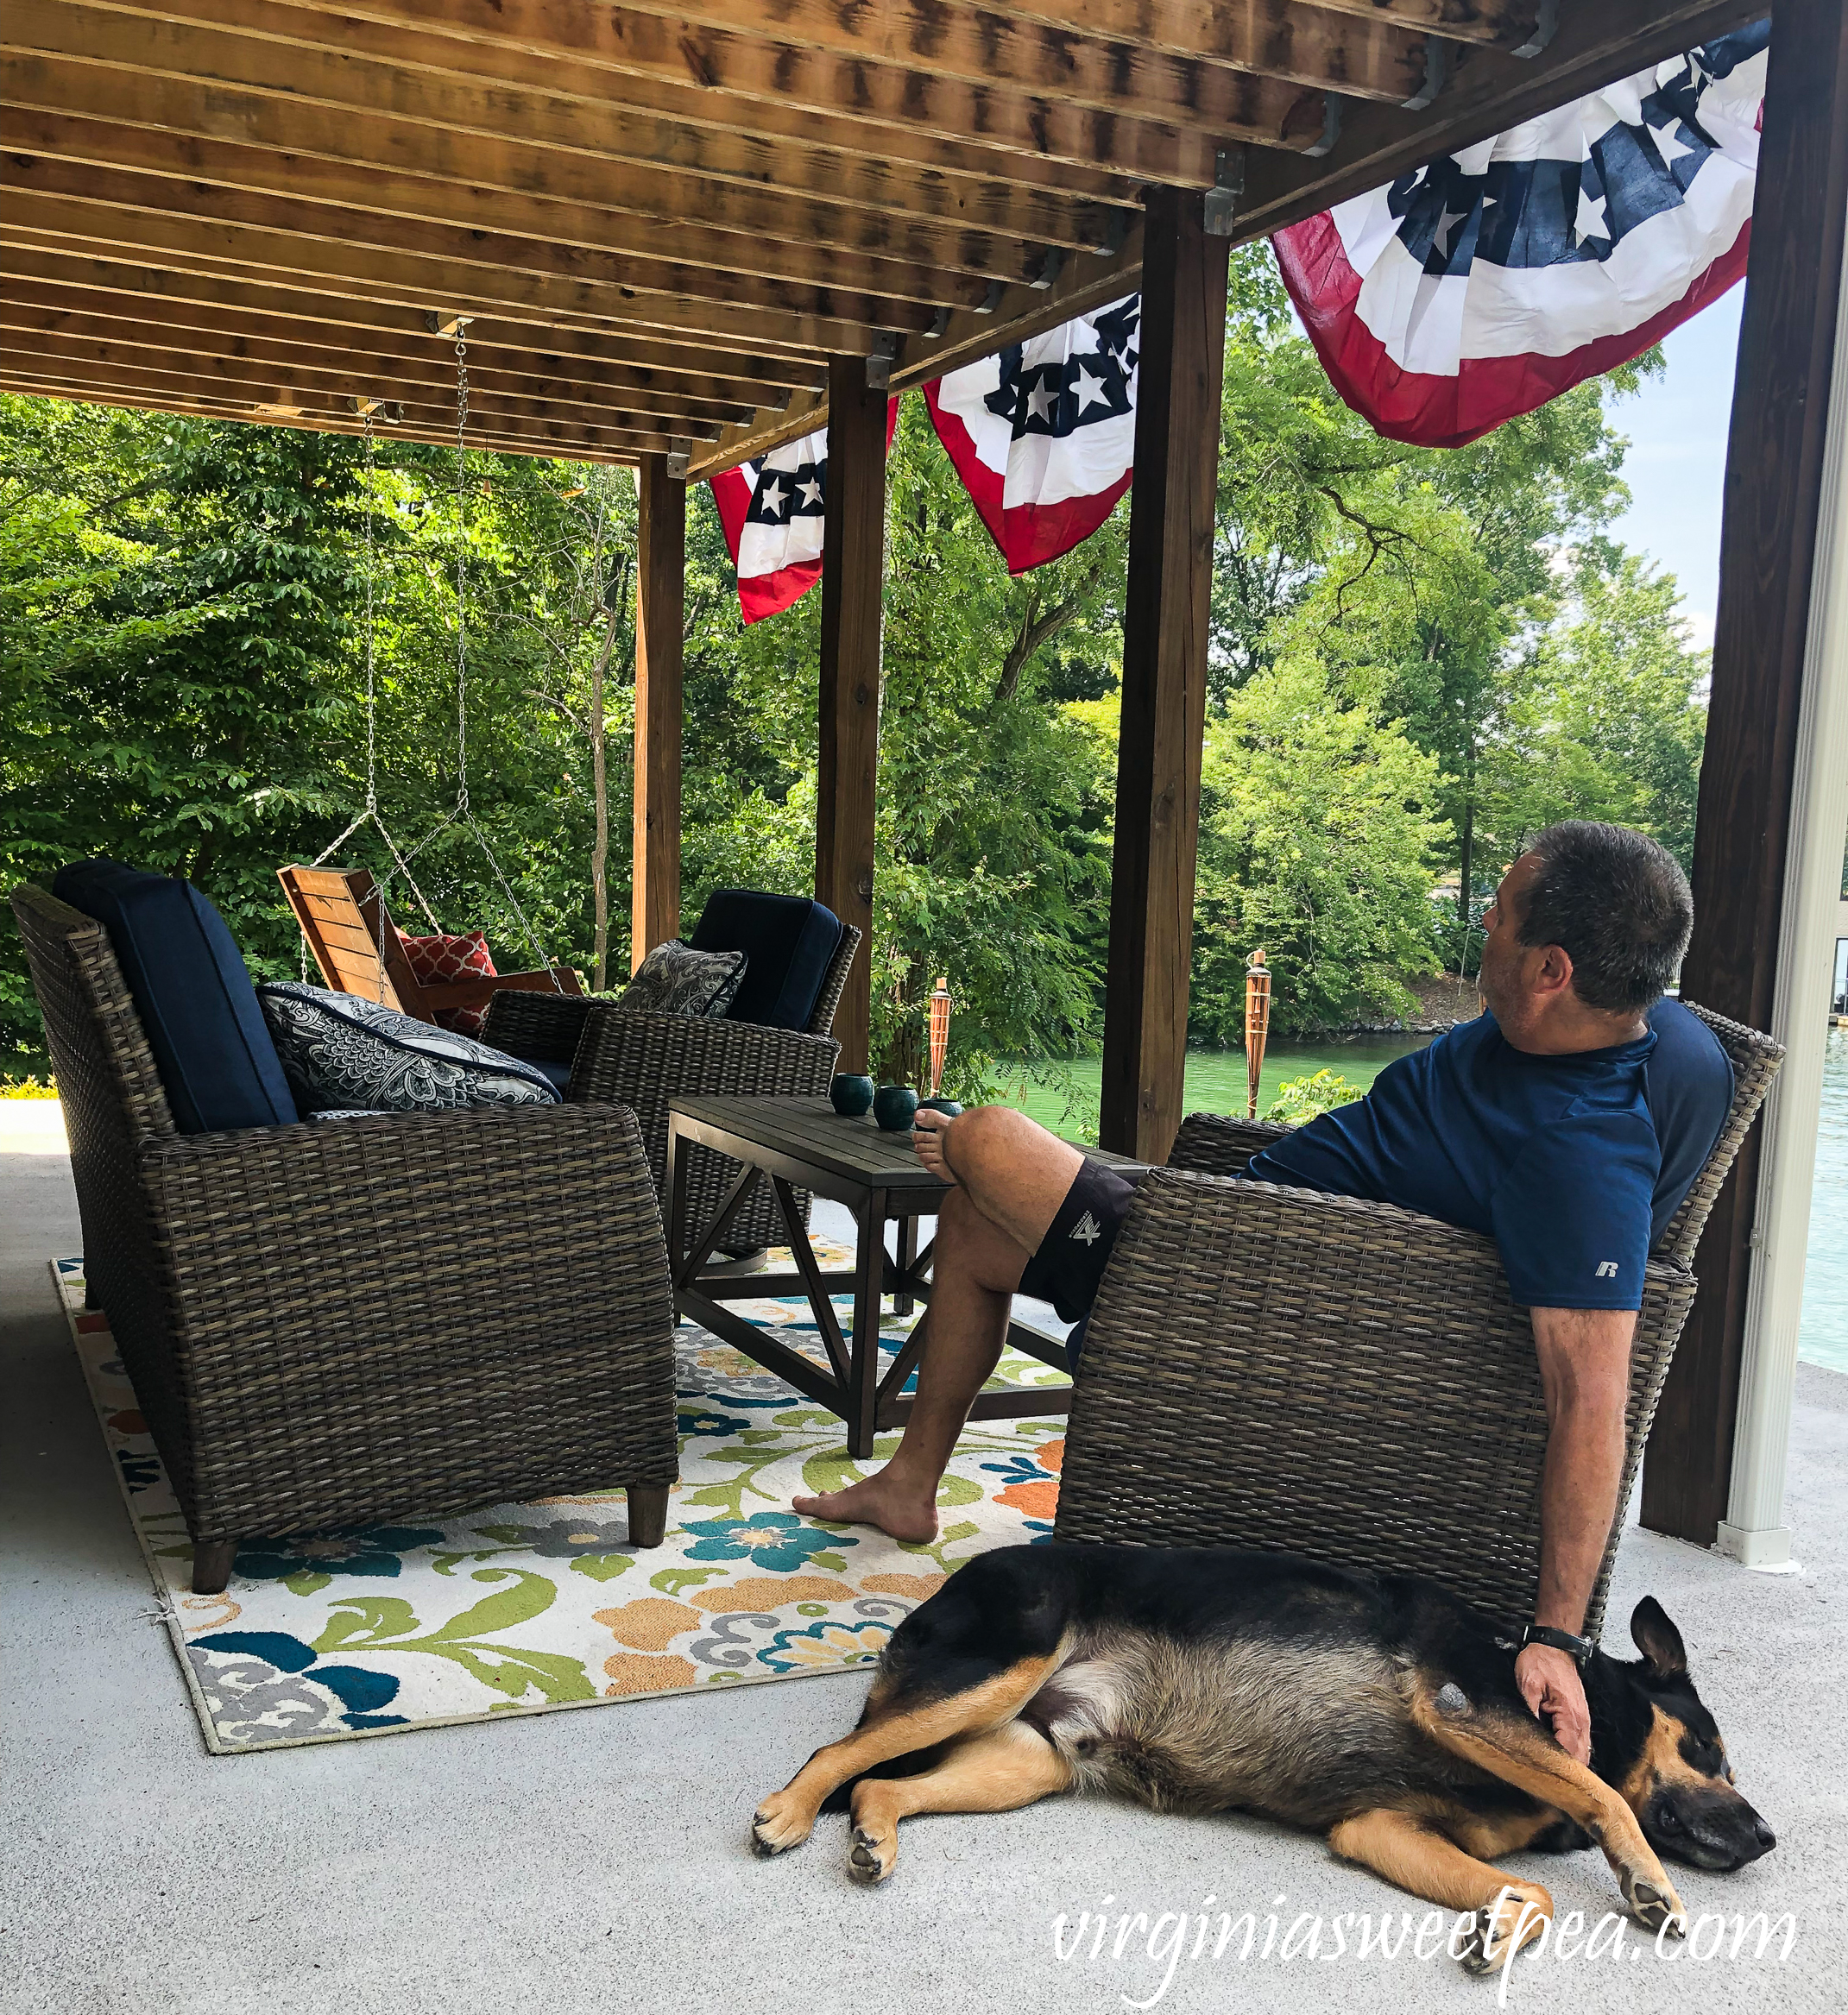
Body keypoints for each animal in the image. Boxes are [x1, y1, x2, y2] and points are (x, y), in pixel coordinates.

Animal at [754, 1547, 1773, 1974]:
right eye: (1709, 1750)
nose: (1766, 1837)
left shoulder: (1376, 1826)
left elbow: (1533, 1893)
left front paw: (1496, 1930)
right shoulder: (1462, 1706)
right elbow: (1605, 1793)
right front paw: (1646, 1884)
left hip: (1026, 1759)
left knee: (877, 1780)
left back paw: (872, 1838)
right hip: (994, 1669)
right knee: (835, 1750)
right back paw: (787, 1814)